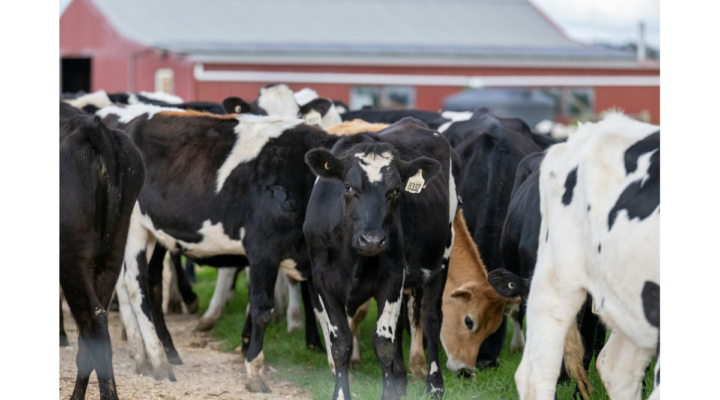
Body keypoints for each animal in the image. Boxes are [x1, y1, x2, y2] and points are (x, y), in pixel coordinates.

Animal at [97, 103, 330, 390]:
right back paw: (159, 361)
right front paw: (254, 372)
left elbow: (326, 314)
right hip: (133, 227)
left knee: (130, 282)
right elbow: (262, 309)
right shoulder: (263, 249)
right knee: (135, 284)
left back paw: (142, 356)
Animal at [302, 116, 456, 400]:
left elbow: (384, 343)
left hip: (441, 261)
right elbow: (340, 343)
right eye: (348, 186)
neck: (353, 258)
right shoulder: (322, 280)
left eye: (396, 191)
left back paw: (434, 386)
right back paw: (401, 383)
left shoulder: (393, 277)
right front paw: (342, 395)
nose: (372, 240)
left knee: (431, 317)